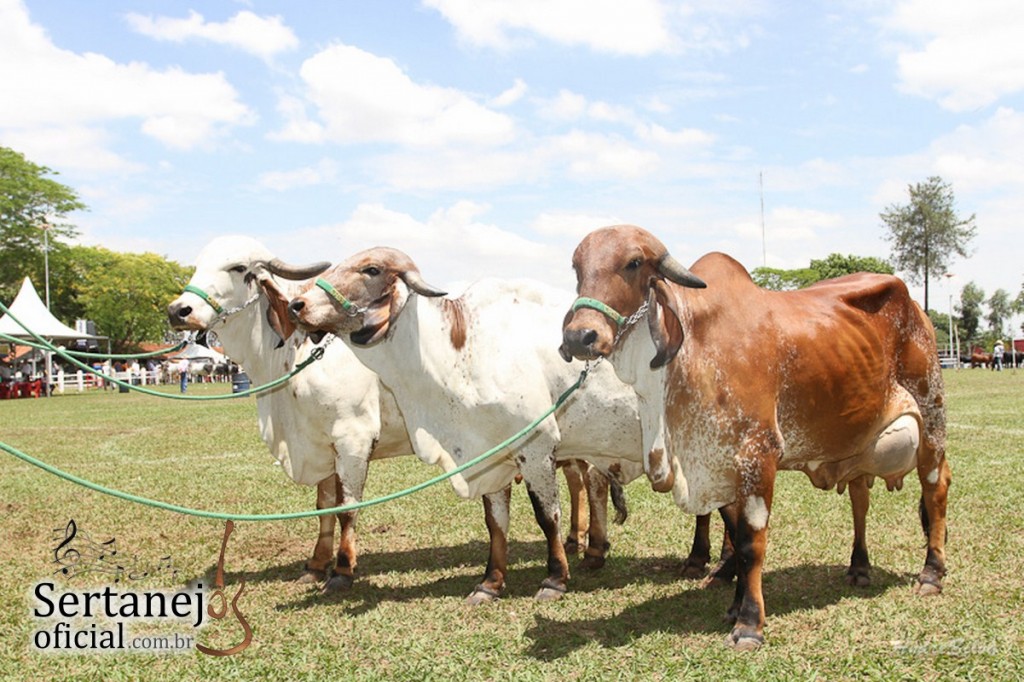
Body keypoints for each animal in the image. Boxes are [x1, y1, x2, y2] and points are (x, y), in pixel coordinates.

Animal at [284, 245, 643, 602]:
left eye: (371, 269)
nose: (297, 305)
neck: (461, 350)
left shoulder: (536, 450)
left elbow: (547, 516)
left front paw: (554, 579)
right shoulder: (489, 455)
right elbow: (496, 522)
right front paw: (490, 583)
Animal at [561, 224, 950, 647]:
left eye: (633, 263)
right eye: (577, 267)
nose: (579, 336)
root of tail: (917, 308)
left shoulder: (757, 456)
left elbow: (752, 542)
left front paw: (749, 623)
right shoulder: (720, 465)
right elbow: (735, 536)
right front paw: (734, 605)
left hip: (931, 416)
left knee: (936, 487)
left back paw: (932, 573)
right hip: (857, 442)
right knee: (860, 497)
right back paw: (859, 567)